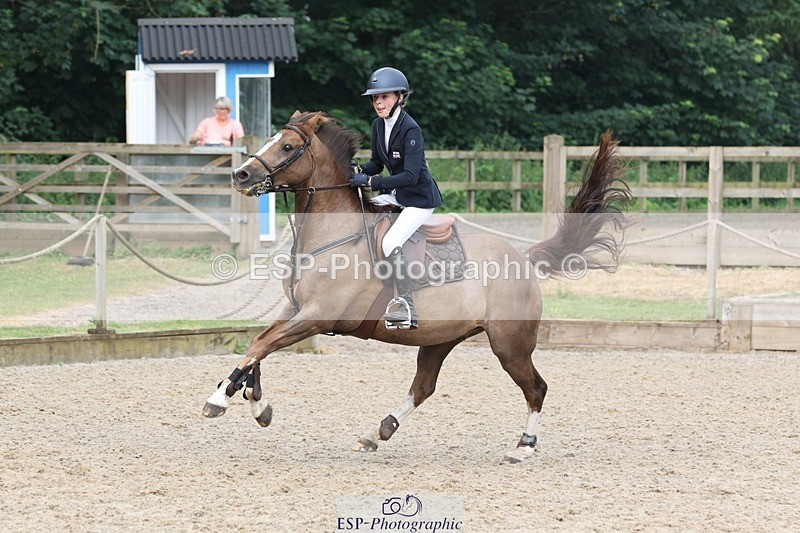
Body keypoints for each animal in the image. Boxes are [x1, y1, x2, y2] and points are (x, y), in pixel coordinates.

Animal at [203, 111, 632, 463]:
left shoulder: (316, 316)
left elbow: (262, 345)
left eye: (288, 146)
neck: (332, 234)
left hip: (510, 346)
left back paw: (522, 447)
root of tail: (523, 259)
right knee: (424, 386)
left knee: (536, 388)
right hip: (440, 337)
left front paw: (220, 399)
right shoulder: (294, 310)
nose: (241, 176)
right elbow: (258, 345)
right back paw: (377, 432)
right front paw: (254, 402)